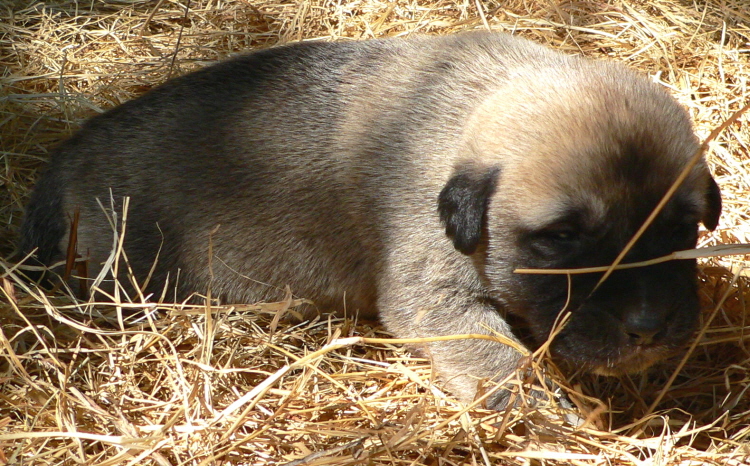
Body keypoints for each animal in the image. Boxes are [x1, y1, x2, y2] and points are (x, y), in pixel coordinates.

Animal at [19, 31, 724, 408]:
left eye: (681, 229)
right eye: (562, 238)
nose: (649, 331)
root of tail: (62, 165)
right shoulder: (435, 296)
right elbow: (499, 361)